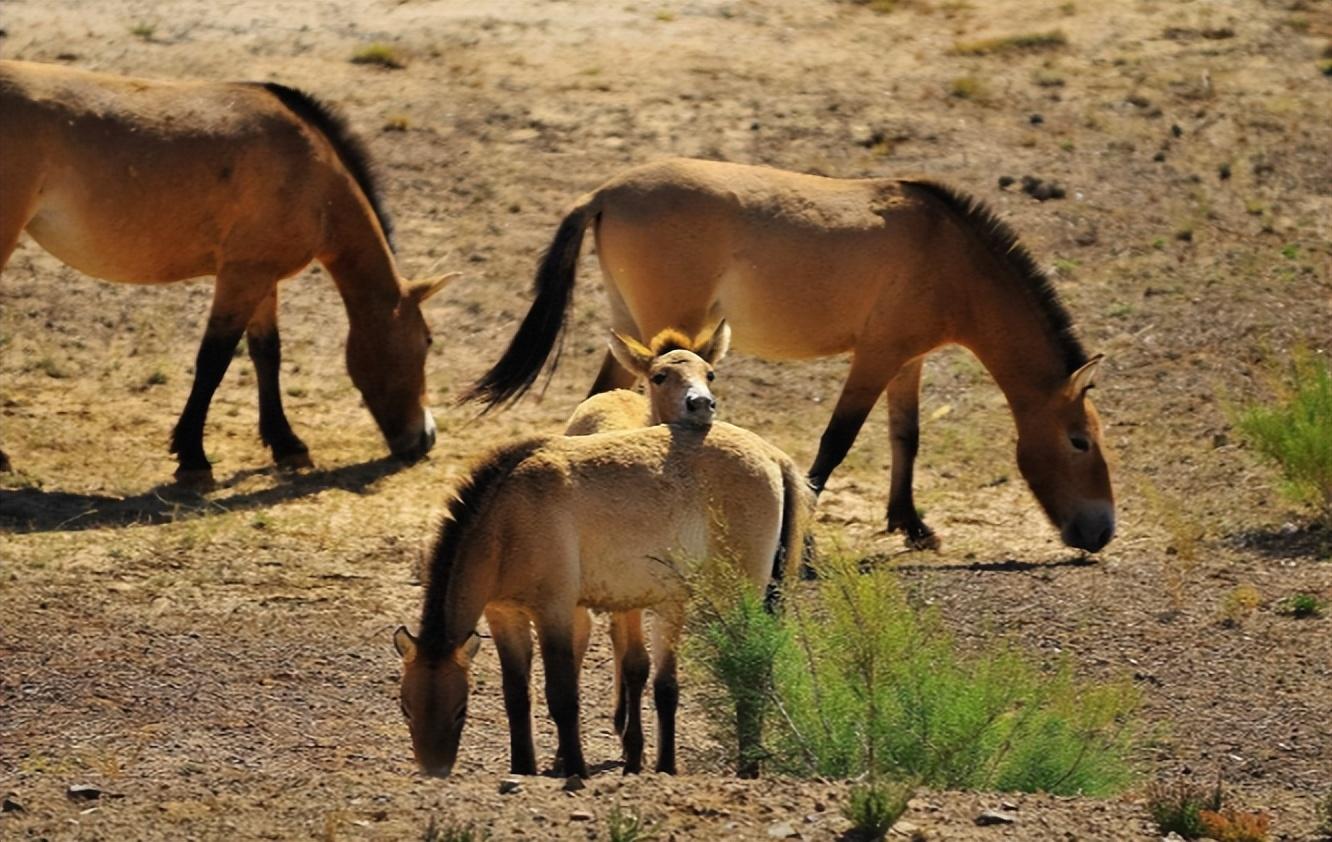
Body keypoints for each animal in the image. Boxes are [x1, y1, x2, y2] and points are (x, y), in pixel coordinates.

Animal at [0, 59, 455, 479]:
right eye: (428, 340)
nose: (425, 438)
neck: (312, 169)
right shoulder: (242, 277)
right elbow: (214, 359)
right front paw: (193, 457)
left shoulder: (262, 278)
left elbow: (266, 354)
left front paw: (286, 444)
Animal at [388, 418, 804, 778]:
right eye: (406, 708)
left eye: (460, 710)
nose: (434, 770)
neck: (507, 520)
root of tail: (774, 457)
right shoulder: (504, 616)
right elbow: (517, 696)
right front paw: (523, 768)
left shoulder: (554, 612)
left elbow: (562, 695)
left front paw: (575, 768)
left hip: (736, 596)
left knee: (749, 670)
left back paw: (747, 769)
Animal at [468, 157, 1113, 551]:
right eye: (1079, 441)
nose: (1102, 530)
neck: (948, 253)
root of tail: (604, 193)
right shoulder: (876, 356)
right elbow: (836, 441)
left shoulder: (908, 360)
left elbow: (906, 437)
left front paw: (910, 524)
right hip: (662, 333)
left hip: (631, 330)